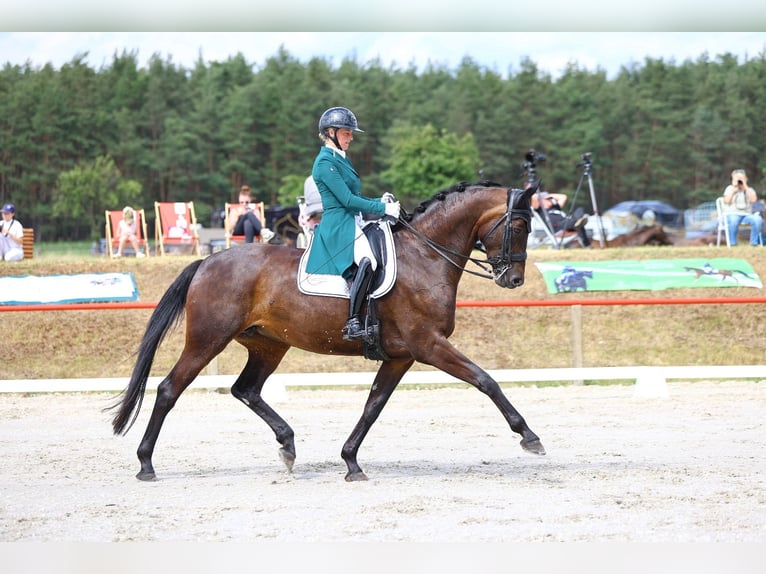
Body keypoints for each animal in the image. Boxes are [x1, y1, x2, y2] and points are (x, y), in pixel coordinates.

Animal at [111, 181, 548, 482]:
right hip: (208, 339)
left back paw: (287, 445)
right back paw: (146, 463)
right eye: (520, 224)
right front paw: (529, 436)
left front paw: (351, 461)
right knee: (170, 389)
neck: (425, 256)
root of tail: (207, 261)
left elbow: (373, 406)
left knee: (246, 390)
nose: (514, 279)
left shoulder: (402, 355)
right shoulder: (428, 345)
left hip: (268, 345)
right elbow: (485, 380)